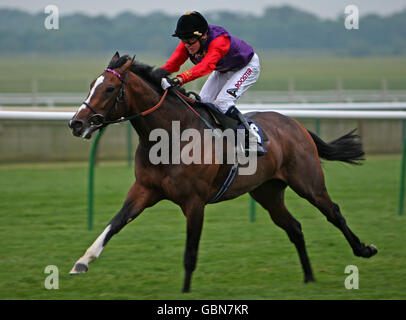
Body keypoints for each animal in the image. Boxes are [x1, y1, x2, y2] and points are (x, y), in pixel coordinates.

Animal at [68, 52, 376, 292]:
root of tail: (295, 124)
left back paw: (364, 249)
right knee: (294, 227)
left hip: (308, 182)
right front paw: (82, 262)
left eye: (109, 89)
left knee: (333, 212)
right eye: (91, 85)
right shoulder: (144, 190)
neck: (170, 136)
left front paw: (185, 292)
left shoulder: (195, 202)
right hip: (268, 192)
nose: (76, 123)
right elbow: (115, 223)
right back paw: (309, 277)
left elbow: (190, 252)